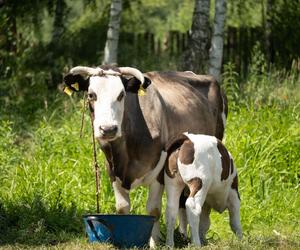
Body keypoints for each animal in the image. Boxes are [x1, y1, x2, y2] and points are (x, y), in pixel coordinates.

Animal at [63, 65, 227, 247]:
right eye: (91, 95)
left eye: (121, 95)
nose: (108, 129)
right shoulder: (112, 171)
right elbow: (122, 208)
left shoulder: (160, 173)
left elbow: (153, 210)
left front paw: (153, 243)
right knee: (182, 202)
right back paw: (183, 235)